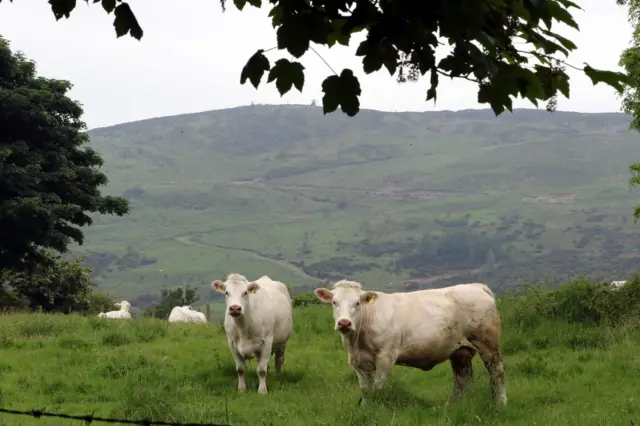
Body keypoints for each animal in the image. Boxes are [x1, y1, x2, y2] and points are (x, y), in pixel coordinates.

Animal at [312, 280, 508, 406]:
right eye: (334, 302)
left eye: (357, 303)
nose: (344, 323)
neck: (357, 342)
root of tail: (476, 286)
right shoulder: (358, 362)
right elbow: (366, 389)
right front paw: (366, 408)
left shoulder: (386, 356)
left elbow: (379, 387)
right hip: (460, 351)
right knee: (462, 377)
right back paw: (452, 405)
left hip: (488, 344)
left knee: (497, 371)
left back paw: (501, 403)